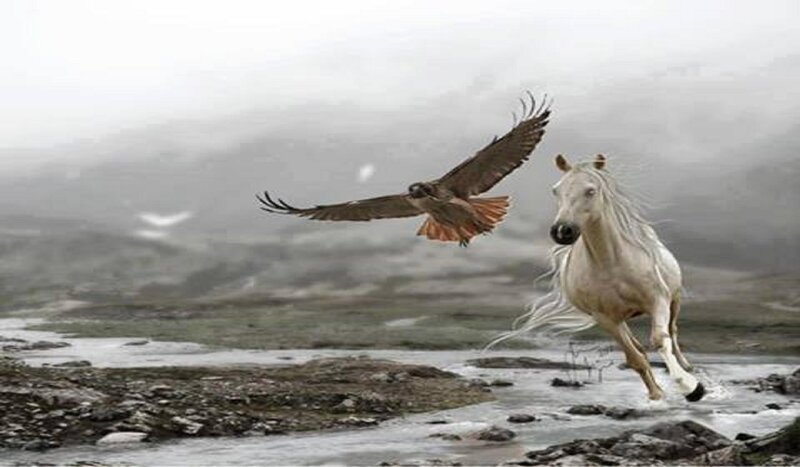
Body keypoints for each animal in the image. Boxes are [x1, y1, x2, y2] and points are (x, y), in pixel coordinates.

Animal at [493, 154, 704, 402]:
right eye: (556, 190)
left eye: (591, 190)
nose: (562, 231)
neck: (610, 264)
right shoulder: (605, 318)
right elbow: (636, 359)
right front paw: (656, 394)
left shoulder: (657, 301)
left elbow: (661, 340)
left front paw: (691, 387)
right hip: (621, 319)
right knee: (637, 347)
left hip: (674, 300)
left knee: (673, 331)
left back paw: (687, 366)